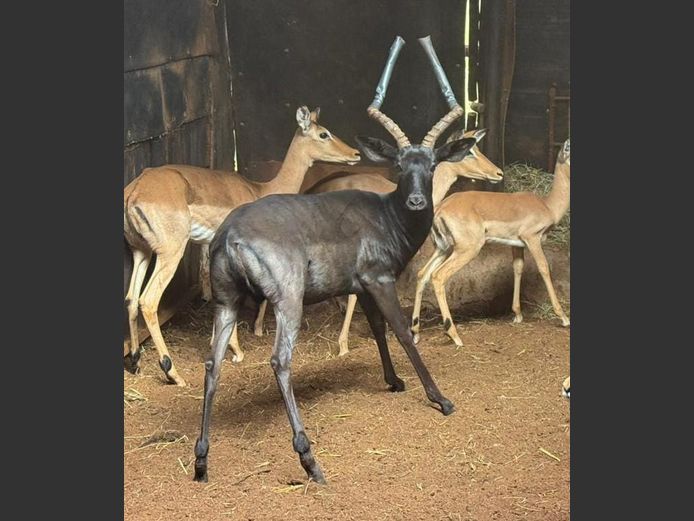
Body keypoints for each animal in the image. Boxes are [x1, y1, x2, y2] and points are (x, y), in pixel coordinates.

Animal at [123, 106, 360, 386]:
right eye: (323, 133)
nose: (355, 154)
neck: (259, 190)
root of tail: (135, 191)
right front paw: (236, 351)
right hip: (171, 252)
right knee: (148, 300)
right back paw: (172, 372)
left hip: (142, 252)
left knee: (131, 299)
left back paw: (136, 361)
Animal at [194, 35, 472, 485]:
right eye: (398, 164)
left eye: (432, 164)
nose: (416, 201)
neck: (387, 216)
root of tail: (230, 235)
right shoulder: (380, 279)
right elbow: (402, 332)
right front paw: (440, 399)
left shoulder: (363, 285)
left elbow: (377, 328)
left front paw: (394, 381)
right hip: (288, 300)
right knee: (280, 360)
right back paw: (310, 460)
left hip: (226, 302)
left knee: (212, 363)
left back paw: (201, 461)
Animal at [411, 138, 571, 348]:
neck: (548, 205)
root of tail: (441, 208)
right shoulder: (533, 239)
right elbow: (544, 268)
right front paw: (563, 317)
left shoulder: (516, 245)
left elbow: (517, 268)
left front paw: (517, 314)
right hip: (466, 250)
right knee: (438, 276)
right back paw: (454, 335)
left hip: (444, 249)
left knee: (423, 274)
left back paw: (415, 332)